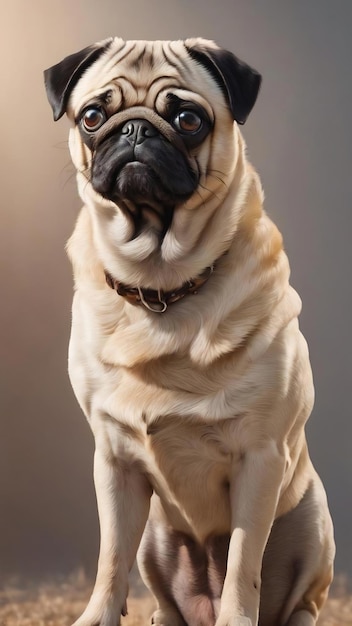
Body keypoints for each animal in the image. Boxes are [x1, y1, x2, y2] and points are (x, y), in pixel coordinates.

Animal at [44, 37, 336, 624]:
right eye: (92, 117)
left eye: (188, 119)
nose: (135, 129)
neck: (162, 286)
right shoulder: (113, 461)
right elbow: (111, 558)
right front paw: (96, 616)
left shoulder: (260, 458)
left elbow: (245, 562)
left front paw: (237, 616)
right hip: (156, 535)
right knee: (159, 590)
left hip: (313, 523)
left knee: (300, 599)